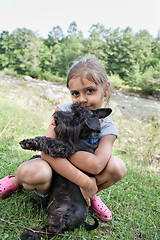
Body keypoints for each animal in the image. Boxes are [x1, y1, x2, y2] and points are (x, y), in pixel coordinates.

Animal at [19, 102, 111, 239]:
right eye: (72, 109)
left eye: (78, 117)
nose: (56, 116)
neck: (86, 138)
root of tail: (82, 222)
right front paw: (34, 155)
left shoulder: (64, 146)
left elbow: (48, 140)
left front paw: (29, 143)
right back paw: (35, 203)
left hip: (60, 215)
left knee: (52, 231)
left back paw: (30, 234)